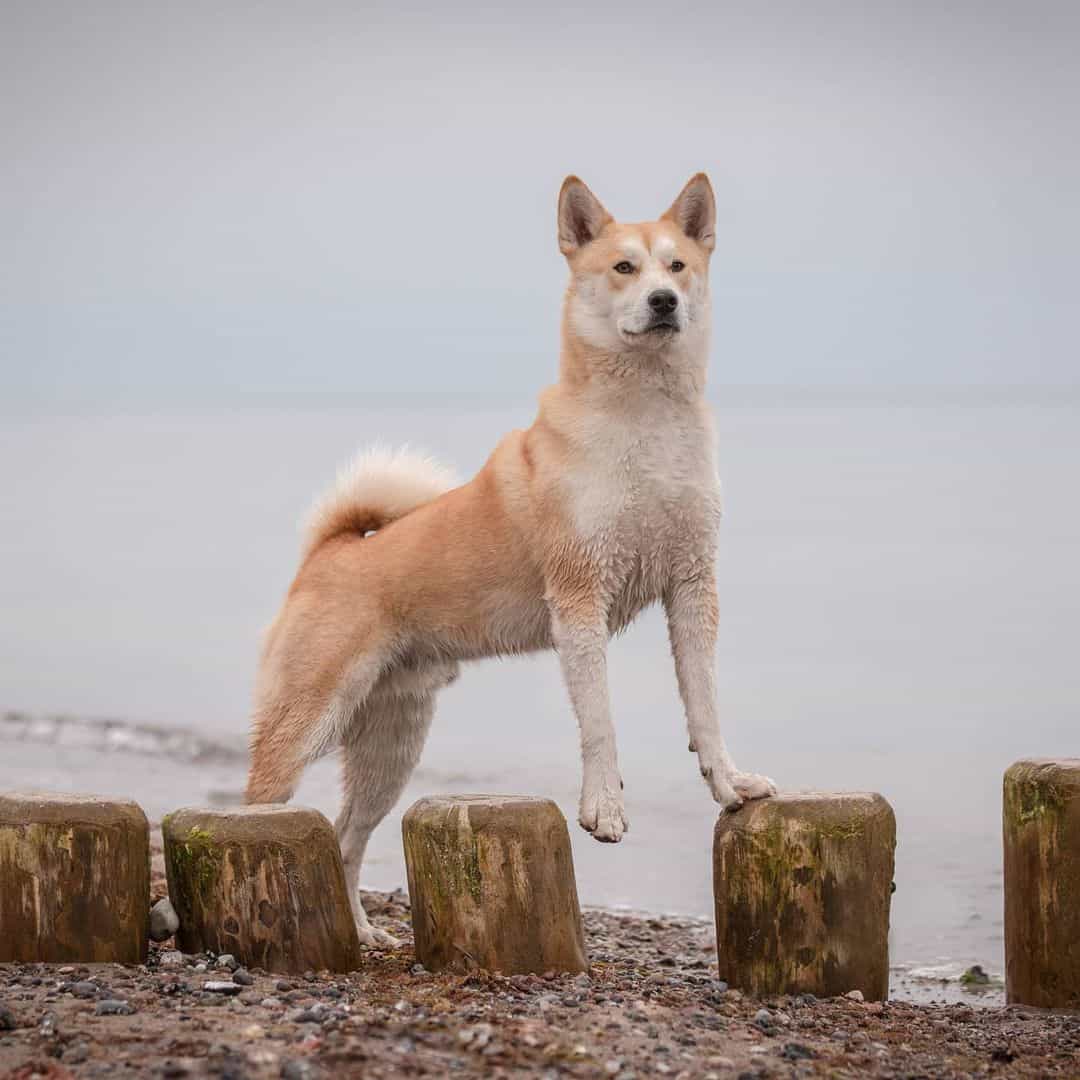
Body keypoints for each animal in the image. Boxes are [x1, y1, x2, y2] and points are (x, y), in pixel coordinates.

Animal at [247, 174, 777, 946]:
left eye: (677, 266)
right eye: (624, 267)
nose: (664, 301)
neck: (645, 424)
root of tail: (331, 552)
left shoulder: (692, 587)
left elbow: (705, 707)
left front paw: (730, 785)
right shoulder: (580, 597)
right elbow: (600, 722)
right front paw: (603, 809)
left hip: (390, 749)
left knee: (345, 838)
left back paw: (363, 935)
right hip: (306, 723)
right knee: (261, 807)